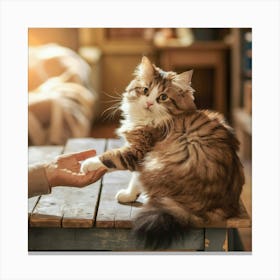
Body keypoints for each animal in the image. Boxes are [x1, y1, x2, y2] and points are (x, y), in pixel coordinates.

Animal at [80, 56, 244, 249]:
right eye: (145, 90)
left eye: (163, 97)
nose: (149, 103)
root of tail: (218, 206)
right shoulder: (143, 158)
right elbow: (135, 179)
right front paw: (129, 195)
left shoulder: (138, 152)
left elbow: (111, 158)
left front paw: (87, 164)